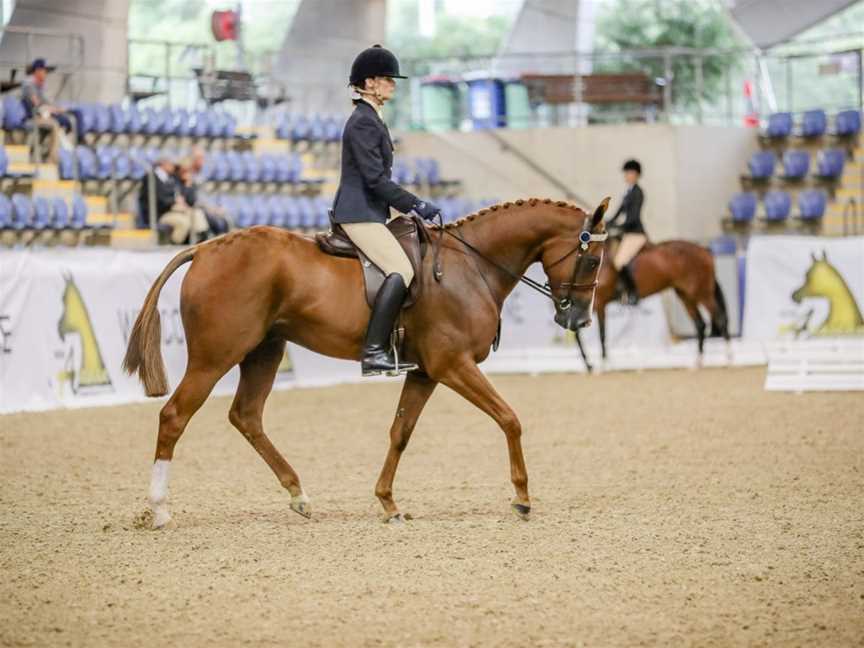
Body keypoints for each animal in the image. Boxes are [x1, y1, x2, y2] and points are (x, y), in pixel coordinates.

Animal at [121, 196, 612, 528]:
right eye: (591, 260)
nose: (578, 319)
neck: (470, 266)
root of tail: (205, 249)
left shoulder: (427, 372)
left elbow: (400, 432)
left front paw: (388, 502)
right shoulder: (454, 365)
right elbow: (509, 418)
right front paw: (522, 497)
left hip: (265, 350)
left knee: (246, 416)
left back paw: (299, 495)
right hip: (215, 356)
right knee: (175, 415)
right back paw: (160, 510)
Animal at [576, 239, 732, 370]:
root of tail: (704, 250)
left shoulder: (599, 303)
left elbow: (601, 334)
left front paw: (603, 365)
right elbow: (579, 333)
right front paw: (589, 365)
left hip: (702, 293)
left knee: (720, 319)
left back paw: (728, 358)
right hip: (685, 295)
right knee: (700, 324)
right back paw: (698, 362)